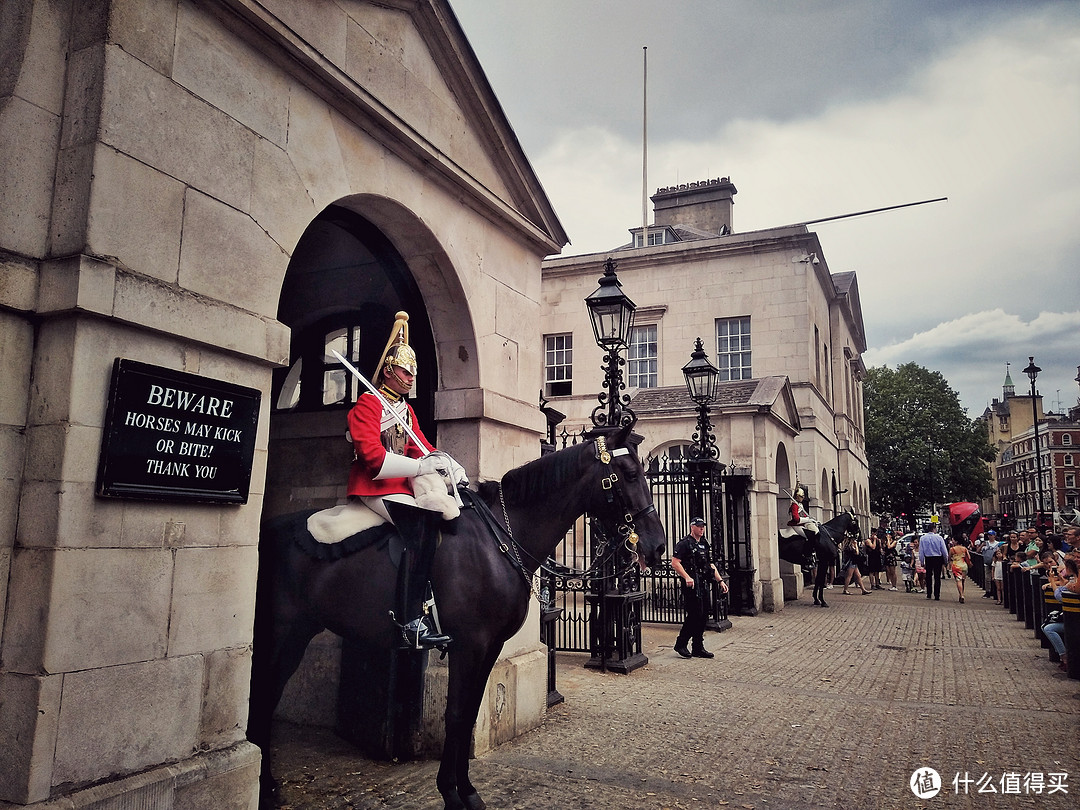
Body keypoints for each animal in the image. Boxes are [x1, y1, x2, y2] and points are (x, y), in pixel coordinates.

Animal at [249, 425, 665, 810]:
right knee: (262, 695)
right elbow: (456, 713)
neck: (499, 540)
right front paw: (450, 792)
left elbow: (469, 714)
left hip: (299, 632)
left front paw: (466, 790)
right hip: (280, 633)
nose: (657, 545)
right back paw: (264, 787)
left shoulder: (490, 647)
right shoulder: (469, 644)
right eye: (630, 473)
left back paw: (267, 784)